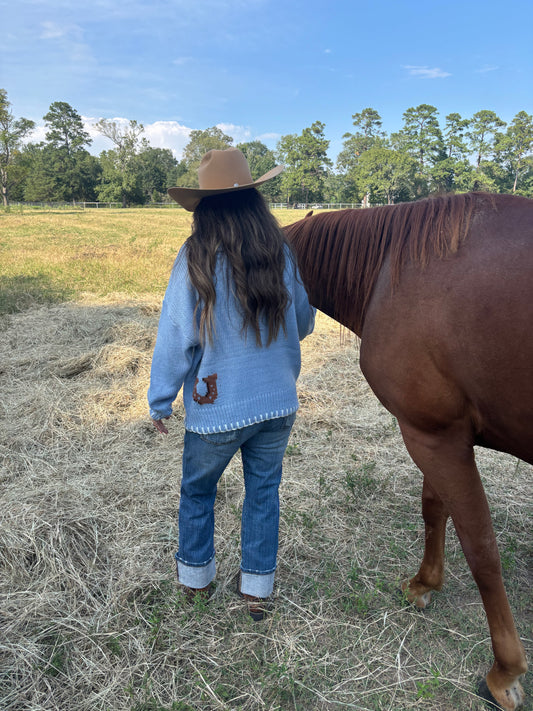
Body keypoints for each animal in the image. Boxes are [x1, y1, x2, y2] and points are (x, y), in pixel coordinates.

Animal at [284, 192, 532, 711]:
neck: (391, 272)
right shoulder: (435, 435)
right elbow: (434, 509)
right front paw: (424, 584)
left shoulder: (433, 437)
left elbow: (481, 549)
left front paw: (504, 672)